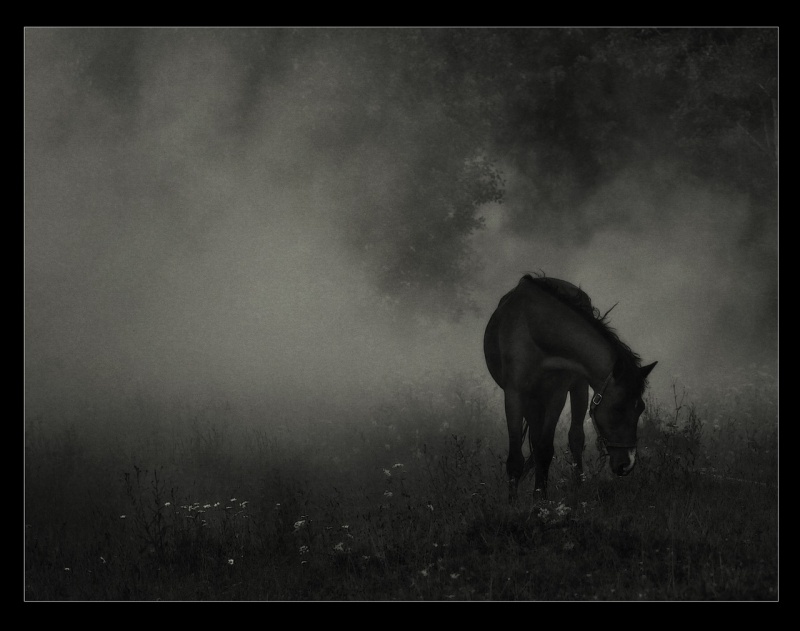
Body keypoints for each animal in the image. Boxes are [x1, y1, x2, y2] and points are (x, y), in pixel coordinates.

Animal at [482, 274, 656, 502]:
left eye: (641, 408)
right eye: (618, 408)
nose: (627, 464)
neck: (536, 328)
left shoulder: (557, 394)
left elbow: (545, 450)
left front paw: (540, 499)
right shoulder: (515, 395)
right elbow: (516, 458)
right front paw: (513, 504)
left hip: (577, 387)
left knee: (575, 438)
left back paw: (578, 485)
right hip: (533, 401)